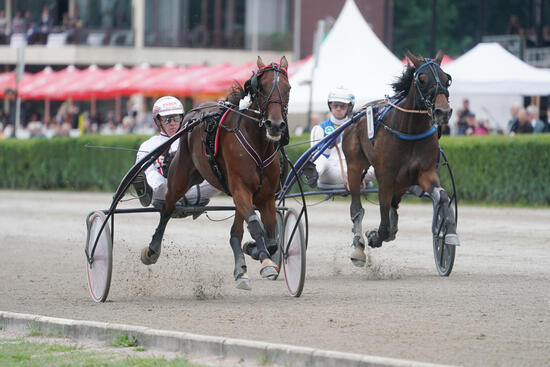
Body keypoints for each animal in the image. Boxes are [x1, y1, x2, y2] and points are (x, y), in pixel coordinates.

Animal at [140, 56, 292, 290]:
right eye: (262, 88)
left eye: (288, 88)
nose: (275, 125)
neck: (258, 144)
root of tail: (195, 111)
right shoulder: (240, 189)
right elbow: (255, 226)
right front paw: (265, 261)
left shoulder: (266, 196)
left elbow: (272, 239)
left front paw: (254, 250)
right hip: (180, 175)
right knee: (166, 208)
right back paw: (152, 249)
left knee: (236, 232)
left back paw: (241, 268)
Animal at [344, 49, 462, 268]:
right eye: (422, 79)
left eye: (446, 78)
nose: (443, 111)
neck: (409, 129)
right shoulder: (386, 177)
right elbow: (382, 218)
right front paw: (374, 236)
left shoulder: (425, 172)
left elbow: (442, 196)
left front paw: (449, 234)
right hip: (354, 166)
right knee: (356, 207)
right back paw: (358, 246)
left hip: (403, 181)